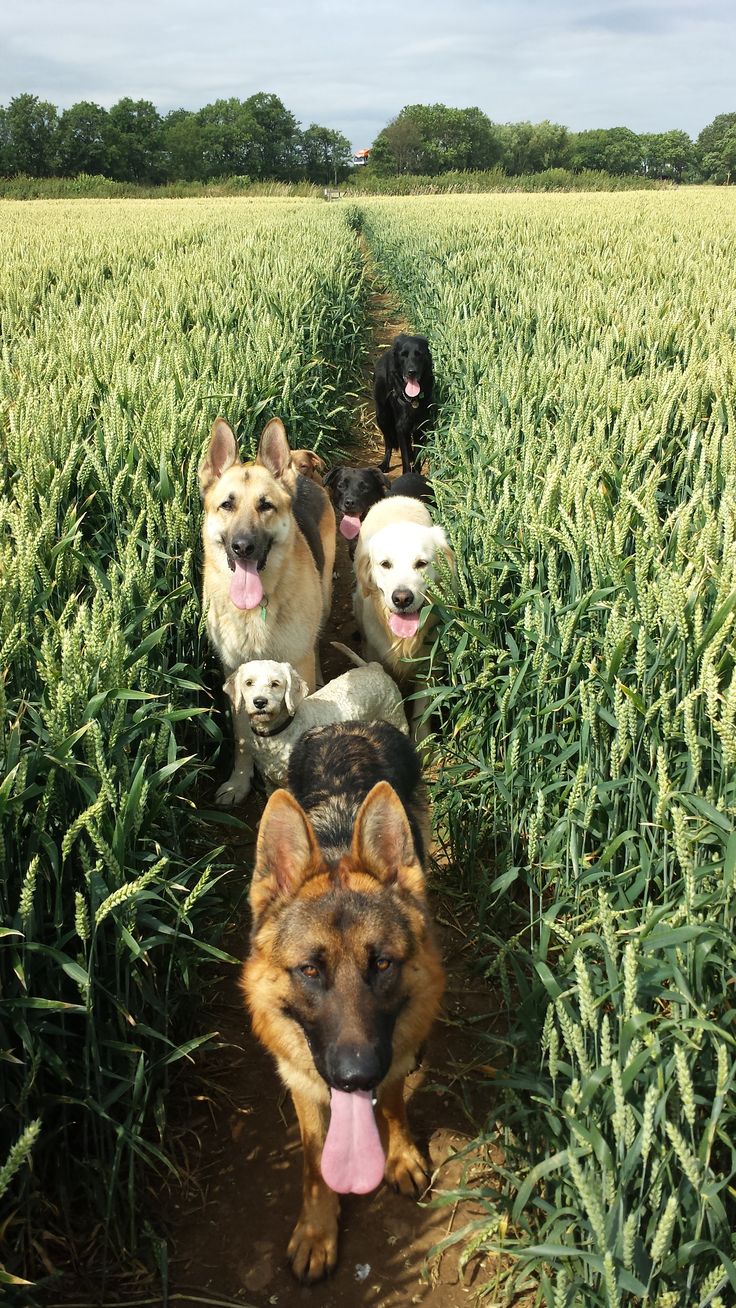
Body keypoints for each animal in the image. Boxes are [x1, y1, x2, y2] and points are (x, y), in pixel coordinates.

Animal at [201, 418, 339, 805]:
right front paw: (239, 781)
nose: (242, 547)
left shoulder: (297, 662)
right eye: (227, 505)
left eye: (266, 506)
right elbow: (241, 737)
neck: (257, 610)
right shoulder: (234, 674)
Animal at [217, 640, 407, 800]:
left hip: (397, 720)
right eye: (248, 683)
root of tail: (374, 667)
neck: (279, 732)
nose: (260, 702)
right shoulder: (268, 779)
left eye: (275, 683)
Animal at [244, 727, 447, 1287]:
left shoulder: (388, 1062)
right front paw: (317, 1231)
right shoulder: (302, 1078)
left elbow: (395, 1102)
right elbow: (315, 1160)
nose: (356, 1078)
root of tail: (348, 727)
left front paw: (400, 1156)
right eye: (310, 971)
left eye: (382, 963)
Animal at [371, 334, 434, 478]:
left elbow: (417, 456)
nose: (412, 371)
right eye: (403, 355)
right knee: (388, 442)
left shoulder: (420, 427)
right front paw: (407, 475)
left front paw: (416, 475)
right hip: (383, 417)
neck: (413, 400)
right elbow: (404, 456)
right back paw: (384, 464)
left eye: (419, 354)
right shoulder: (400, 427)